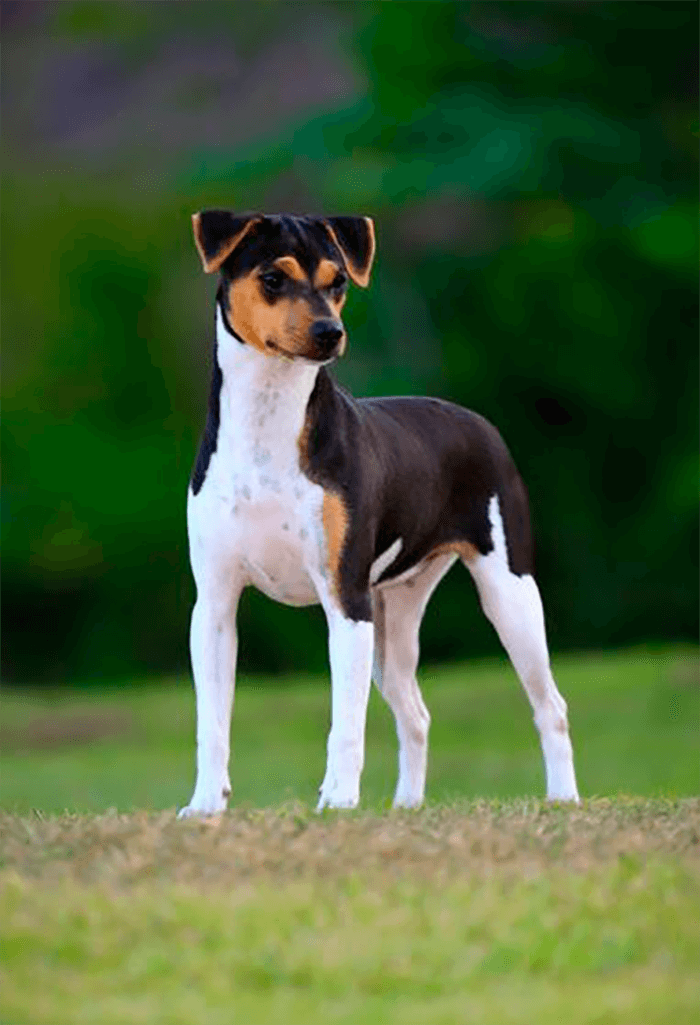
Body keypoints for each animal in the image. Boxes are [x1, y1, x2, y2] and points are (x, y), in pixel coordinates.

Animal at [179, 210, 582, 815]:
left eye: (338, 282)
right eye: (272, 278)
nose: (330, 332)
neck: (266, 428)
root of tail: (480, 423)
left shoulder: (345, 602)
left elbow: (345, 724)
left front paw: (338, 802)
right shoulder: (214, 605)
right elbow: (212, 722)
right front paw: (205, 804)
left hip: (509, 594)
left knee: (550, 706)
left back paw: (563, 800)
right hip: (395, 617)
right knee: (415, 712)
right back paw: (407, 807)